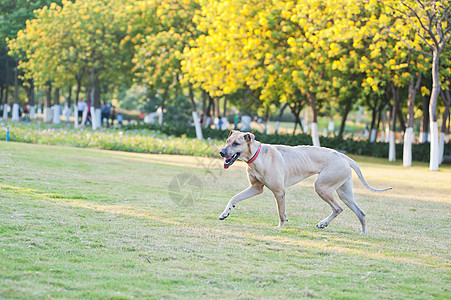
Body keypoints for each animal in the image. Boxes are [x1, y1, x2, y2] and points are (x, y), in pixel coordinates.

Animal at [219, 130, 392, 233]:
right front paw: (225, 212)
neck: (257, 155)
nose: (221, 152)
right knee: (360, 213)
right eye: (227, 141)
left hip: (322, 187)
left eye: (236, 144)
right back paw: (363, 233)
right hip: (345, 192)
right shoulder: (256, 188)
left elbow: (281, 213)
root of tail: (343, 156)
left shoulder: (279, 192)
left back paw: (323, 223)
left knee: (338, 208)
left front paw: (280, 227)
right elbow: (234, 198)